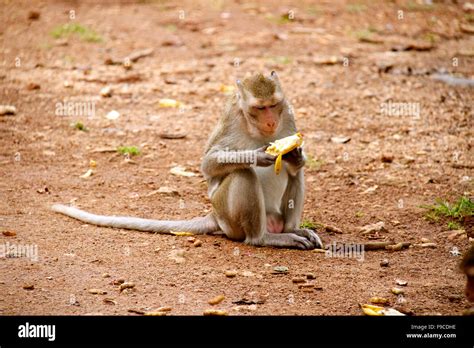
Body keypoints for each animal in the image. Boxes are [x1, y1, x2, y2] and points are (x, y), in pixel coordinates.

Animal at [52, 71, 322, 250]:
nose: (271, 122)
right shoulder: (231, 117)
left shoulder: (288, 113)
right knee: (242, 174)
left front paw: (295, 154)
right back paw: (264, 238)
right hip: (228, 218)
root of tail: (214, 215)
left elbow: (296, 164)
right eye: (260, 108)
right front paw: (257, 155)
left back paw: (292, 229)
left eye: (273, 105)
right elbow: (209, 164)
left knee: (296, 175)